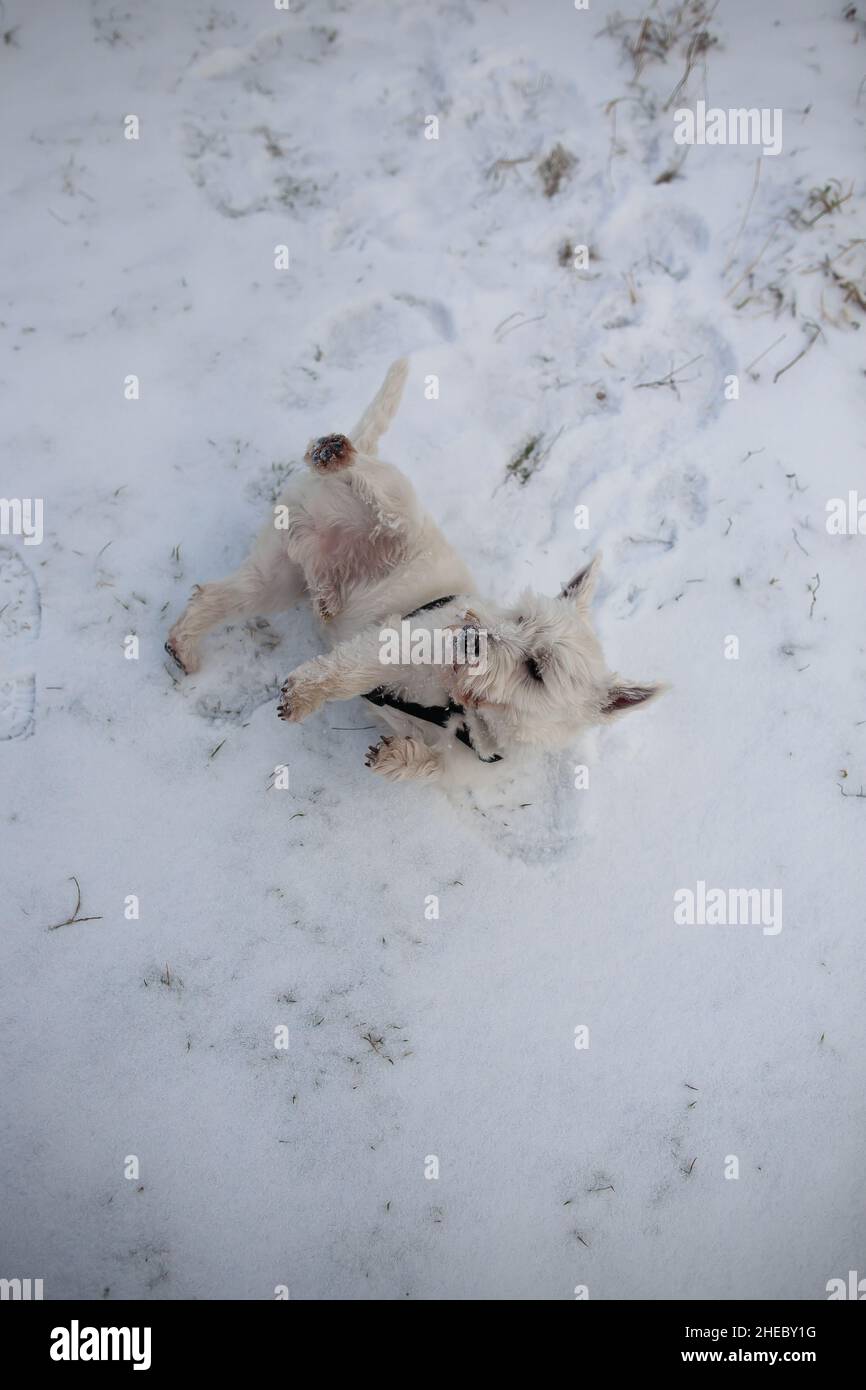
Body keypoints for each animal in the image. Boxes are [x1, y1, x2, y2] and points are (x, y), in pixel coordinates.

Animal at [164, 361, 664, 783]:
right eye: (520, 617)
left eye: (536, 670)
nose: (470, 637)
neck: (461, 708)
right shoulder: (402, 639)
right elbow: (346, 671)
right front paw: (304, 695)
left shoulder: (461, 765)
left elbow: (431, 765)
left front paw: (396, 757)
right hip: (393, 509)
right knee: (373, 488)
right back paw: (335, 452)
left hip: (277, 577)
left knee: (214, 596)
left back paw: (187, 646)